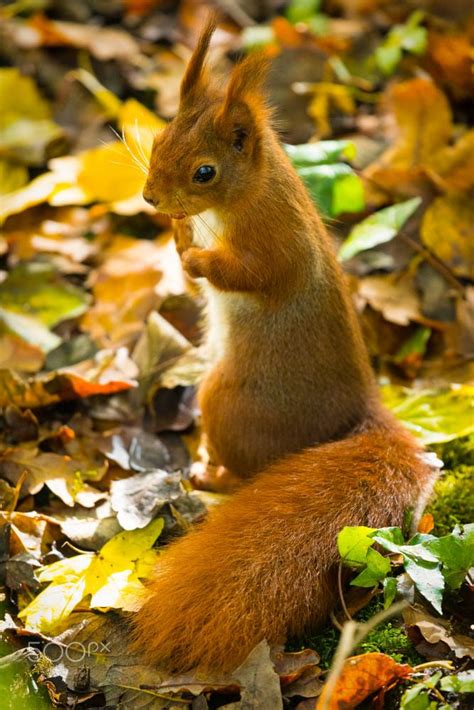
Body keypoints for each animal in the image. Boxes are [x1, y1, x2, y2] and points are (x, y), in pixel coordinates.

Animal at [131, 16, 436, 672]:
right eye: (161, 134)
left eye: (205, 172)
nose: (150, 199)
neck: (248, 195)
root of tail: (356, 414)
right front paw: (176, 238)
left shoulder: (277, 244)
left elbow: (254, 275)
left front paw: (193, 255)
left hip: (226, 399)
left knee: (246, 466)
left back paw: (211, 473)